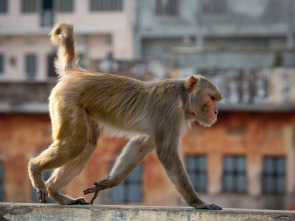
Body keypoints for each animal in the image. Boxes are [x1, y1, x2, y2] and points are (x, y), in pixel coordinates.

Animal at [27, 22, 223, 211]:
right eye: (212, 98)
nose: (216, 112)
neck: (182, 97)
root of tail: (76, 72)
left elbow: (141, 144)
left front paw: (110, 182)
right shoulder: (170, 114)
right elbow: (167, 154)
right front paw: (197, 202)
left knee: (87, 146)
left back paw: (56, 192)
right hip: (67, 102)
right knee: (77, 143)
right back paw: (35, 169)